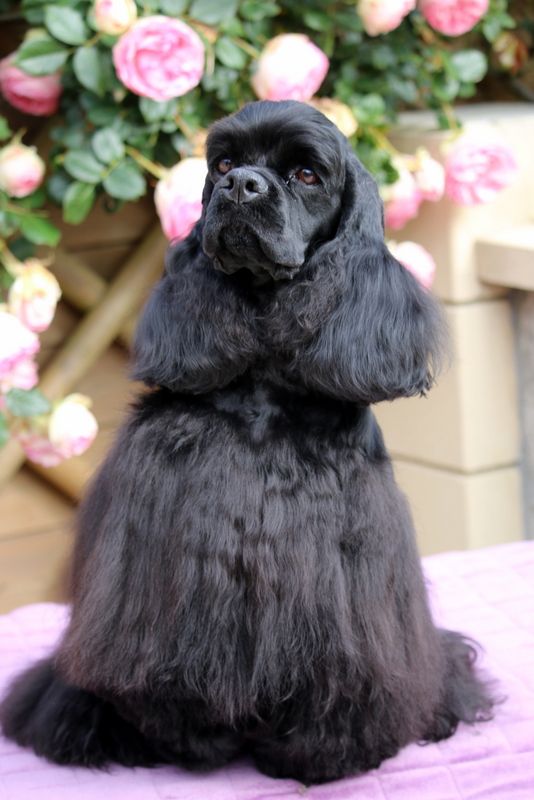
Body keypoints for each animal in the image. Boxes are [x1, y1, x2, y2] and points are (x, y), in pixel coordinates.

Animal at [0, 100, 494, 785]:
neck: (264, 373)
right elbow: (168, 682)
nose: (241, 187)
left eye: (308, 174)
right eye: (224, 163)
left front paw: (321, 758)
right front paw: (195, 746)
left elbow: (339, 685)